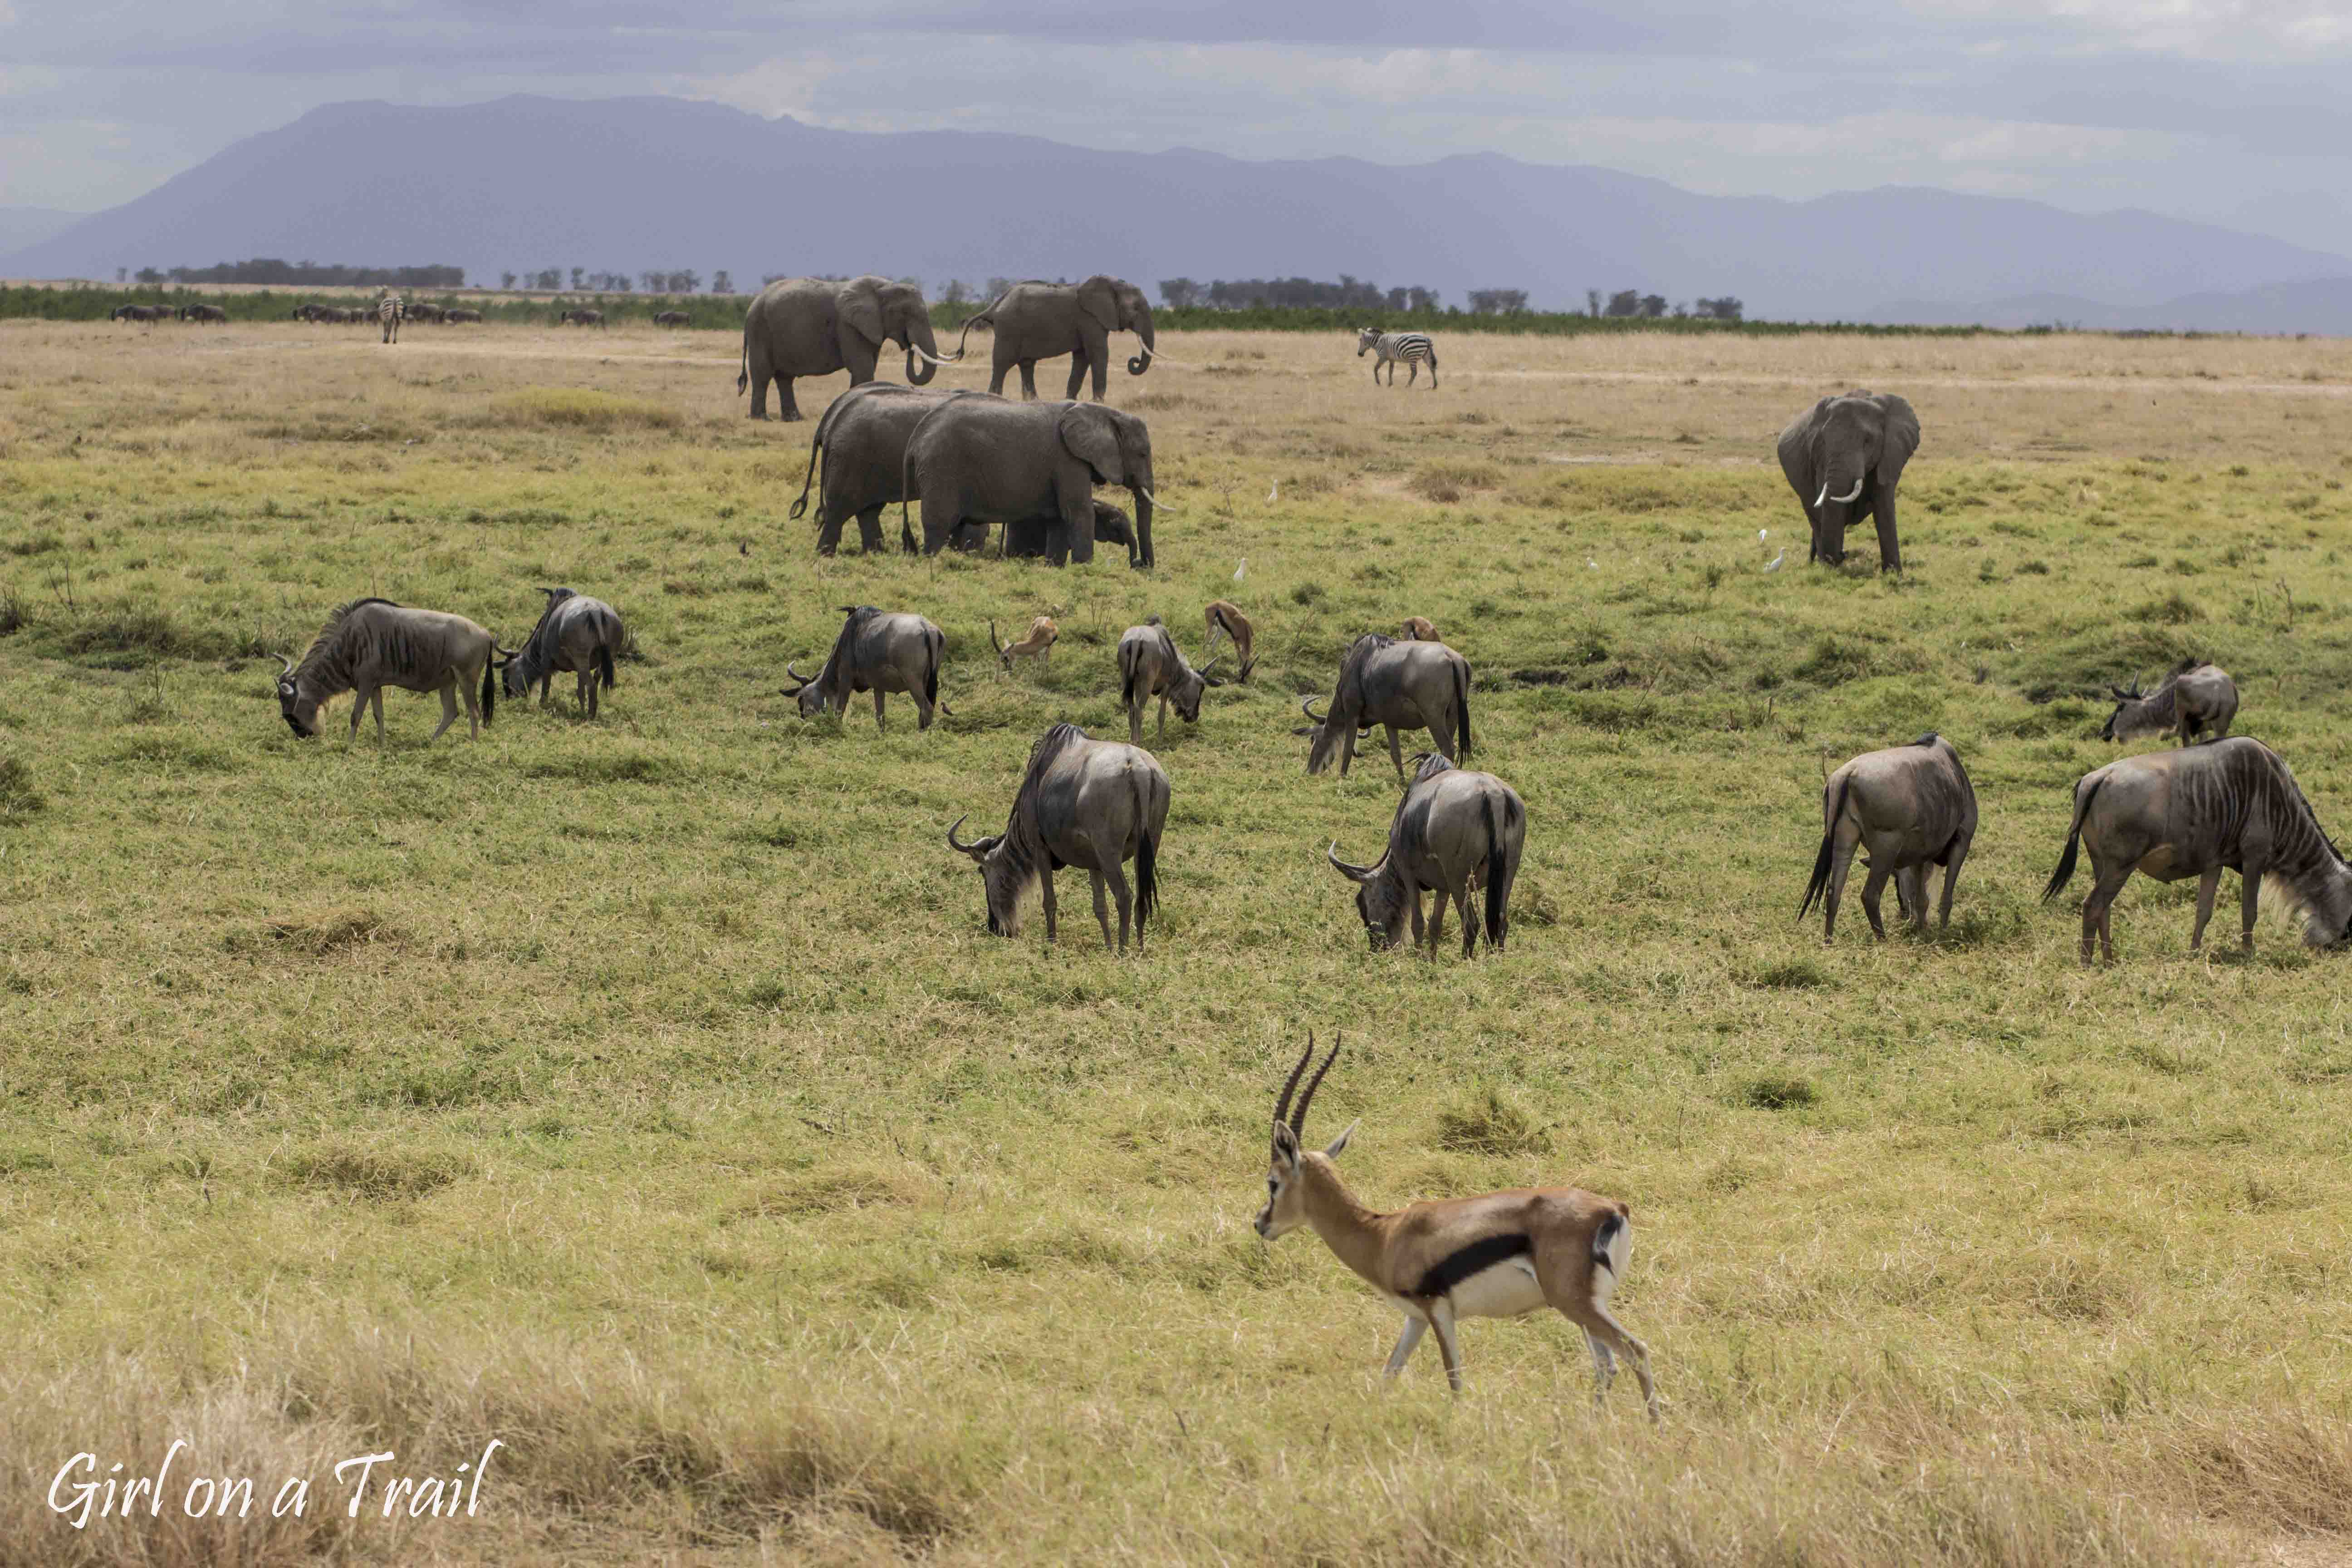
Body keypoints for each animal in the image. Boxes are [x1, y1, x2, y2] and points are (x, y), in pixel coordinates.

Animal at [734, 275, 955, 423]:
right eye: (905, 314)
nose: (909, 346)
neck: (884, 287)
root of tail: (752, 305)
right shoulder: (848, 326)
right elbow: (862, 367)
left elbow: (867, 367)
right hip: (760, 330)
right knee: (763, 375)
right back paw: (762, 419)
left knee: (785, 378)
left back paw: (794, 419)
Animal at [898, 395, 1157, 566]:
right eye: (1142, 454)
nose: (1138, 565)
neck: (1104, 412)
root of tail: (915, 437)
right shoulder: (1067, 459)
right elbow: (1079, 512)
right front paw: (1084, 568)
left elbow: (1059, 519)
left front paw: (1056, 568)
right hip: (941, 468)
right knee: (939, 524)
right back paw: (933, 561)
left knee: (955, 528)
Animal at [941, 282, 1152, 404]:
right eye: (1136, 309)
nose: (1133, 361)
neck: (1112, 284)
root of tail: (994, 306)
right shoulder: (1090, 319)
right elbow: (1097, 354)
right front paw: (1099, 402)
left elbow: (1082, 357)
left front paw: (1070, 400)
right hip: (1009, 330)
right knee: (1002, 364)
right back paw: (996, 398)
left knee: (1026, 365)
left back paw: (1033, 401)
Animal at [1364, 329, 1430, 390]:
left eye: (1361, 340)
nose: (1361, 355)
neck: (1378, 342)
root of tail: (1426, 338)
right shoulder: (1392, 359)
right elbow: (1390, 371)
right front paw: (1390, 384)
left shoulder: (1383, 357)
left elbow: (1376, 368)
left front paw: (1378, 383)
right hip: (1423, 356)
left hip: (1413, 357)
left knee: (1414, 372)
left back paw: (1408, 386)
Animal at [1769, 390, 1919, 573]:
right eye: (1823, 440)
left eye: (1868, 441)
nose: (1844, 554)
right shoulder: (1820, 458)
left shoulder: (1889, 456)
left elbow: (1884, 506)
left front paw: (1894, 575)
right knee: (1814, 518)